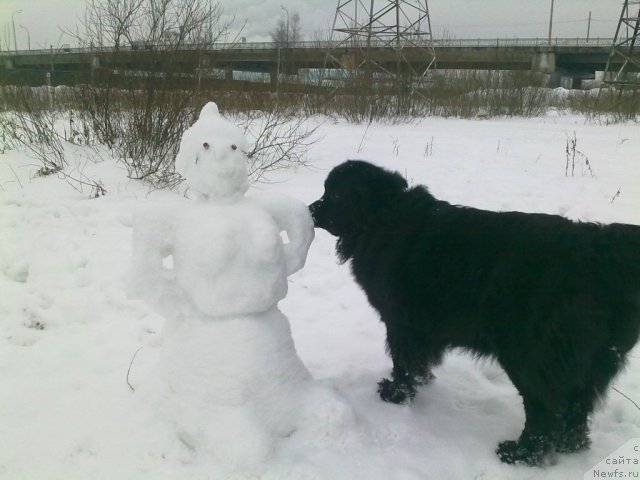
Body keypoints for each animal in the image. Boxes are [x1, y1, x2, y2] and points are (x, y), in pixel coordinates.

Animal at [310, 160, 640, 464]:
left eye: (335, 194)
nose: (311, 209)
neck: (381, 217)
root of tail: (599, 249)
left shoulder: (400, 323)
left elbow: (402, 362)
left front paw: (396, 394)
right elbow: (417, 362)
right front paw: (422, 381)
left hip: (530, 356)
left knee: (547, 409)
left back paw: (521, 453)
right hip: (596, 361)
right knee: (577, 407)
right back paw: (568, 446)